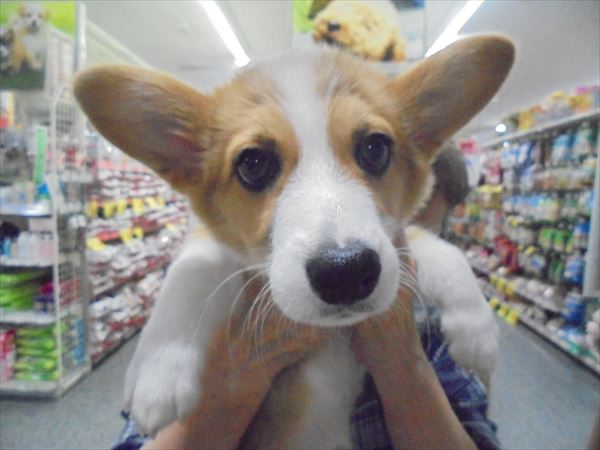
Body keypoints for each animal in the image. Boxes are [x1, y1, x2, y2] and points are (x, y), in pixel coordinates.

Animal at [75, 35, 514, 448]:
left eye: (375, 148)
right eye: (253, 164)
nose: (345, 271)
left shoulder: (394, 239)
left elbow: (445, 250)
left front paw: (477, 329)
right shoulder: (212, 246)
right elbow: (190, 272)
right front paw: (160, 370)